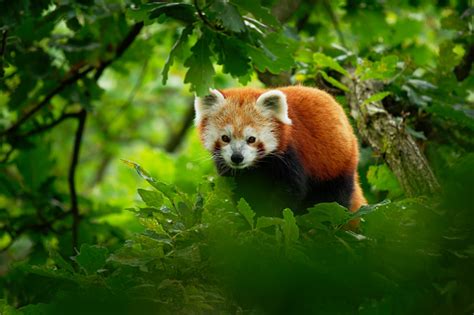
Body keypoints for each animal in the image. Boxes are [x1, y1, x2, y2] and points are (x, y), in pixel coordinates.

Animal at [193, 86, 366, 217]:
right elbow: (245, 194)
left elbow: (290, 192)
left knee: (334, 198)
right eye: (225, 138)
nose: (237, 157)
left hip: (337, 166)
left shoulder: (290, 155)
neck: (256, 166)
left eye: (251, 139)